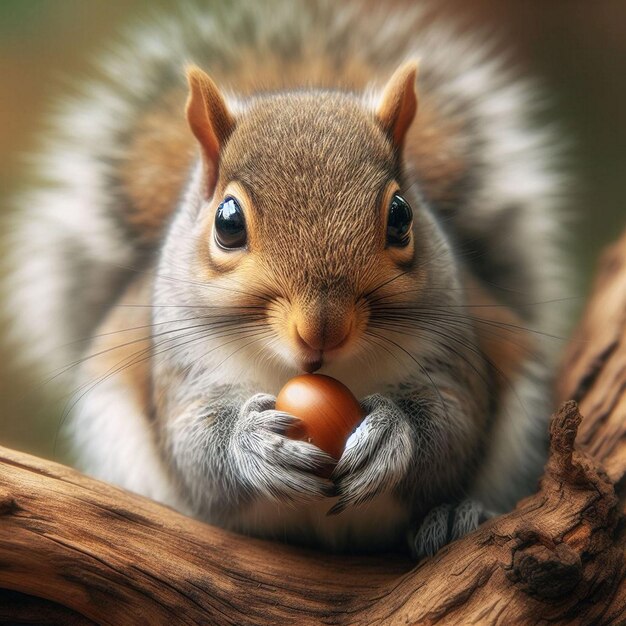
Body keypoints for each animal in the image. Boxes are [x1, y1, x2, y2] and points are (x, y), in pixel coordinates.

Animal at [3, 0, 564, 556]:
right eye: (227, 222)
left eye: (401, 217)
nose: (322, 331)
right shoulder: (184, 371)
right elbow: (194, 447)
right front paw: (252, 444)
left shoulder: (452, 356)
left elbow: (454, 423)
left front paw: (390, 432)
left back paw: (452, 518)